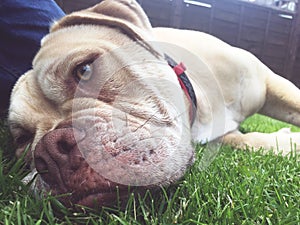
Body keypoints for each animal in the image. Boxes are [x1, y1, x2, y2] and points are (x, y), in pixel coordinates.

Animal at [6, 0, 300, 209]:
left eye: (84, 70)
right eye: (22, 140)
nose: (50, 152)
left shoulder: (270, 82)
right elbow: (245, 140)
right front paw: (286, 142)